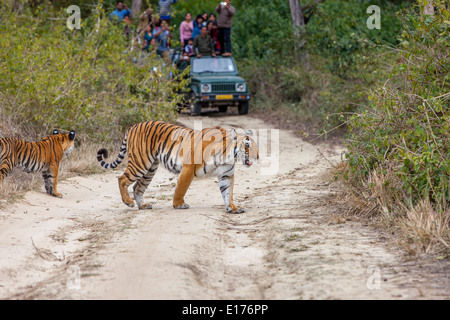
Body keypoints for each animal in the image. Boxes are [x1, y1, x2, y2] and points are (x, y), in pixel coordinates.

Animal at [97, 121, 260, 214]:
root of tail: (133, 126)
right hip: (140, 163)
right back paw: (128, 202)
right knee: (122, 179)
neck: (227, 156)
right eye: (247, 145)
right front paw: (179, 204)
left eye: (256, 147)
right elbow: (181, 187)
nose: (257, 157)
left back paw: (143, 205)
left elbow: (228, 192)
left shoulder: (226, 175)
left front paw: (233, 208)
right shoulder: (188, 168)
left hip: (150, 169)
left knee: (137, 187)